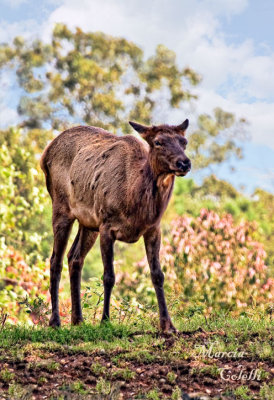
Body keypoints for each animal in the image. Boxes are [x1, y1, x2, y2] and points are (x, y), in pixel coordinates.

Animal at [40, 120, 191, 332]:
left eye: (184, 141)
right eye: (158, 142)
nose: (184, 163)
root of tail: (44, 154)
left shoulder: (153, 229)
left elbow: (158, 275)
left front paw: (168, 325)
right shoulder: (107, 226)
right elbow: (109, 276)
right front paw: (105, 320)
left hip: (88, 222)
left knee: (74, 257)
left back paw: (78, 319)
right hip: (61, 206)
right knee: (55, 260)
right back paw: (55, 321)